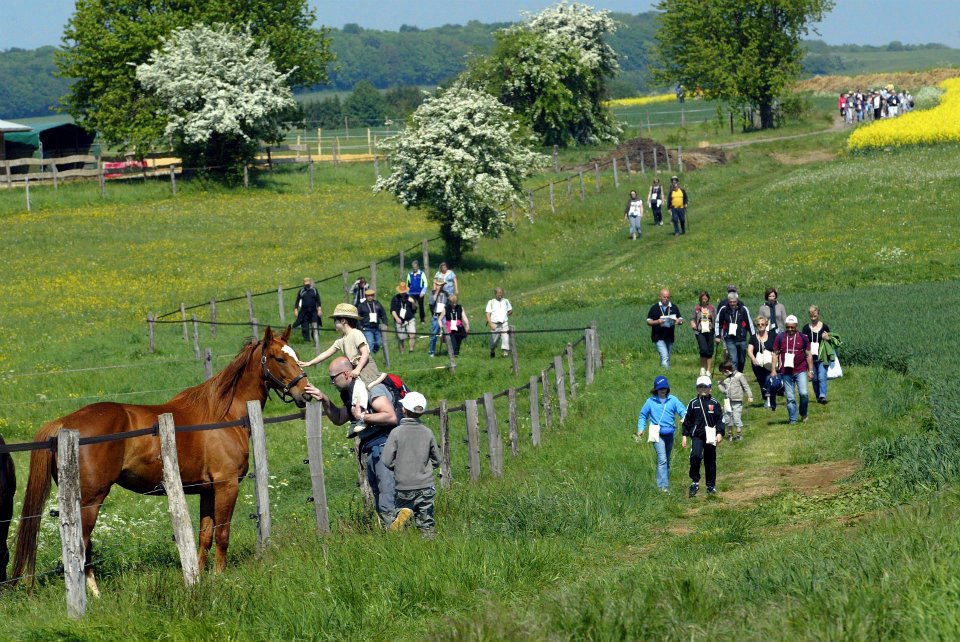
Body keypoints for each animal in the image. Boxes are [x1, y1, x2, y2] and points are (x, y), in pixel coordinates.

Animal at [12, 328, 312, 592]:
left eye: (296, 355)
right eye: (279, 358)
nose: (306, 392)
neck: (223, 415)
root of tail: (64, 424)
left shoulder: (207, 490)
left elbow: (204, 537)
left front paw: (198, 576)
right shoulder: (227, 485)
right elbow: (223, 534)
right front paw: (219, 576)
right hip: (90, 501)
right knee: (82, 546)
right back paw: (94, 594)